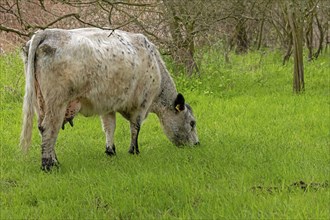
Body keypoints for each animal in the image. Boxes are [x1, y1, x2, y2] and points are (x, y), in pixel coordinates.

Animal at [20, 27, 200, 171]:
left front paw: (110, 151)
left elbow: (109, 127)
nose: (197, 144)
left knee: (43, 129)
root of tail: (48, 32)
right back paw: (48, 165)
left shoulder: (107, 104)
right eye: (192, 123)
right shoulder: (142, 104)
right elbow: (135, 127)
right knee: (49, 128)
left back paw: (54, 160)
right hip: (57, 102)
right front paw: (134, 151)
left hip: (41, 103)